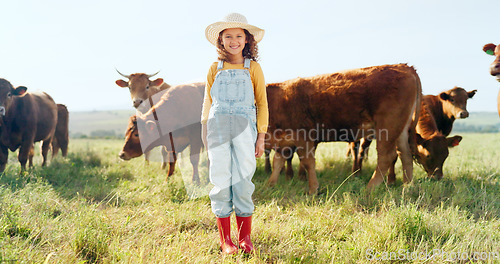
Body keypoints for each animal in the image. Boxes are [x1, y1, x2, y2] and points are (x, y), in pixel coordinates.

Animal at [266, 63, 422, 194]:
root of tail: (405, 67)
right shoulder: (283, 143)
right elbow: (277, 162)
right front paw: (270, 185)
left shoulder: (302, 137)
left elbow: (308, 163)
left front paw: (313, 189)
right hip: (401, 130)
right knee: (405, 155)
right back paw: (408, 187)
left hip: (388, 127)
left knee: (387, 156)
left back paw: (370, 188)